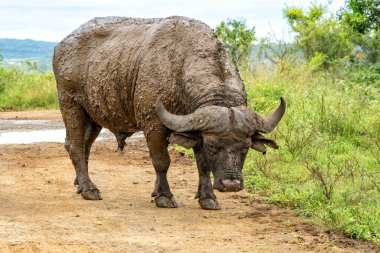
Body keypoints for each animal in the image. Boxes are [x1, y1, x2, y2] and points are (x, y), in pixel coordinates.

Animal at [53, 15, 284, 210]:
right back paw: (89, 189)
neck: (179, 67)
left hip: (94, 116)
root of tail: (61, 46)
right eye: (212, 146)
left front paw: (208, 198)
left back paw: (80, 183)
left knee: (85, 146)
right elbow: (162, 161)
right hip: (71, 105)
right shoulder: (154, 125)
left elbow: (202, 166)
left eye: (245, 148)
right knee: (75, 146)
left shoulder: (196, 127)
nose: (231, 184)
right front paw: (164, 196)